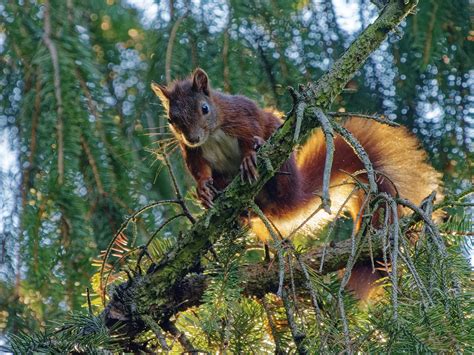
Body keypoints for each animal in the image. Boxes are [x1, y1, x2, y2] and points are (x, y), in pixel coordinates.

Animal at [151, 68, 440, 298]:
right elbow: (199, 170)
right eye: (172, 120)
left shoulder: (243, 116)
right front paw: (202, 189)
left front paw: (249, 156)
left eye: (204, 108)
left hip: (281, 157)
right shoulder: (193, 153)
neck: (213, 133)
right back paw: (237, 210)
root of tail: (290, 197)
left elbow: (249, 133)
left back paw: (261, 158)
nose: (192, 137)